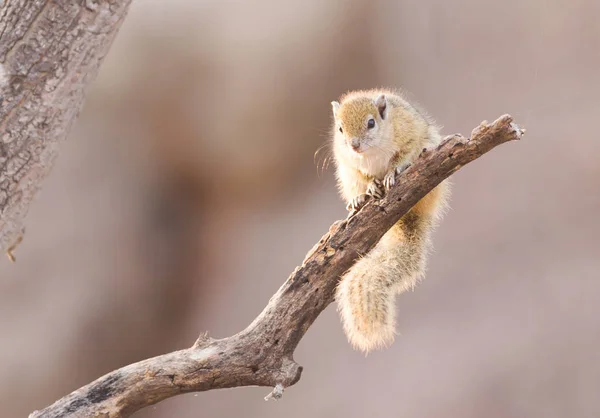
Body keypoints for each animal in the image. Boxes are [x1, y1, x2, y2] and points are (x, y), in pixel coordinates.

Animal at [328, 87, 450, 352]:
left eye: (371, 123)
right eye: (340, 129)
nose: (354, 145)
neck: (371, 152)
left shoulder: (409, 132)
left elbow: (404, 153)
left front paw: (393, 171)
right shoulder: (350, 165)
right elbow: (363, 175)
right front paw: (371, 186)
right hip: (346, 178)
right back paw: (358, 200)